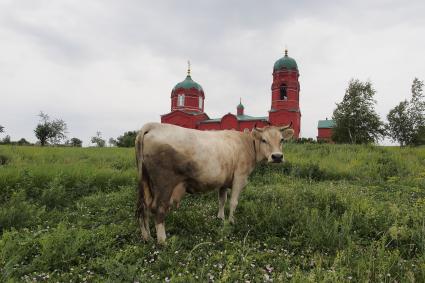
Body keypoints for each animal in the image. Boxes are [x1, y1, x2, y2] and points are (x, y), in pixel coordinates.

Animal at [134, 122, 294, 244]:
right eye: (264, 140)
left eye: (282, 140)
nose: (277, 157)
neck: (247, 143)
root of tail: (152, 125)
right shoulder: (240, 177)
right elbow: (233, 202)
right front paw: (231, 221)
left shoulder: (223, 181)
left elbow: (222, 200)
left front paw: (220, 218)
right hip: (164, 185)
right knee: (158, 209)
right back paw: (162, 241)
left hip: (146, 183)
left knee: (144, 208)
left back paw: (147, 237)